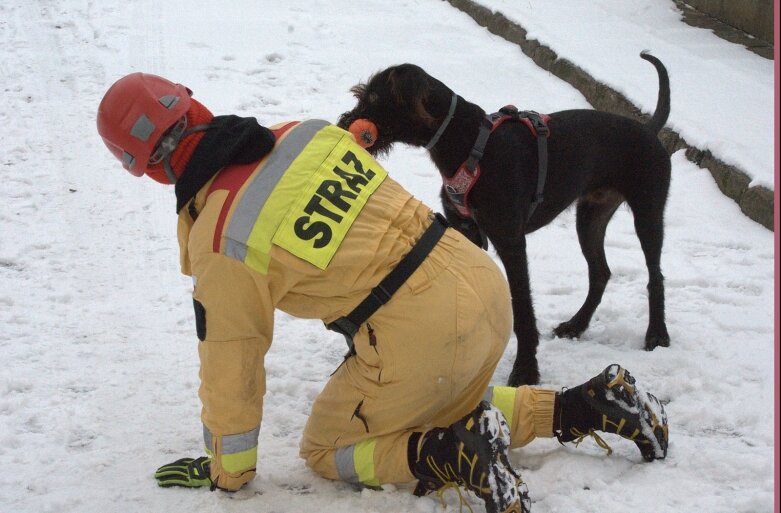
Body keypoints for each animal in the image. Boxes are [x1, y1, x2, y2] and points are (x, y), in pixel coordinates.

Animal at [338, 54, 672, 386]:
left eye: (373, 97)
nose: (344, 123)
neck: (468, 143)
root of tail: (649, 129)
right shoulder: (466, 230)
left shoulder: (511, 241)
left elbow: (522, 309)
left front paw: (525, 369)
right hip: (591, 216)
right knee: (600, 272)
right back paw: (576, 325)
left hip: (648, 212)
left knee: (655, 275)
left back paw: (657, 335)